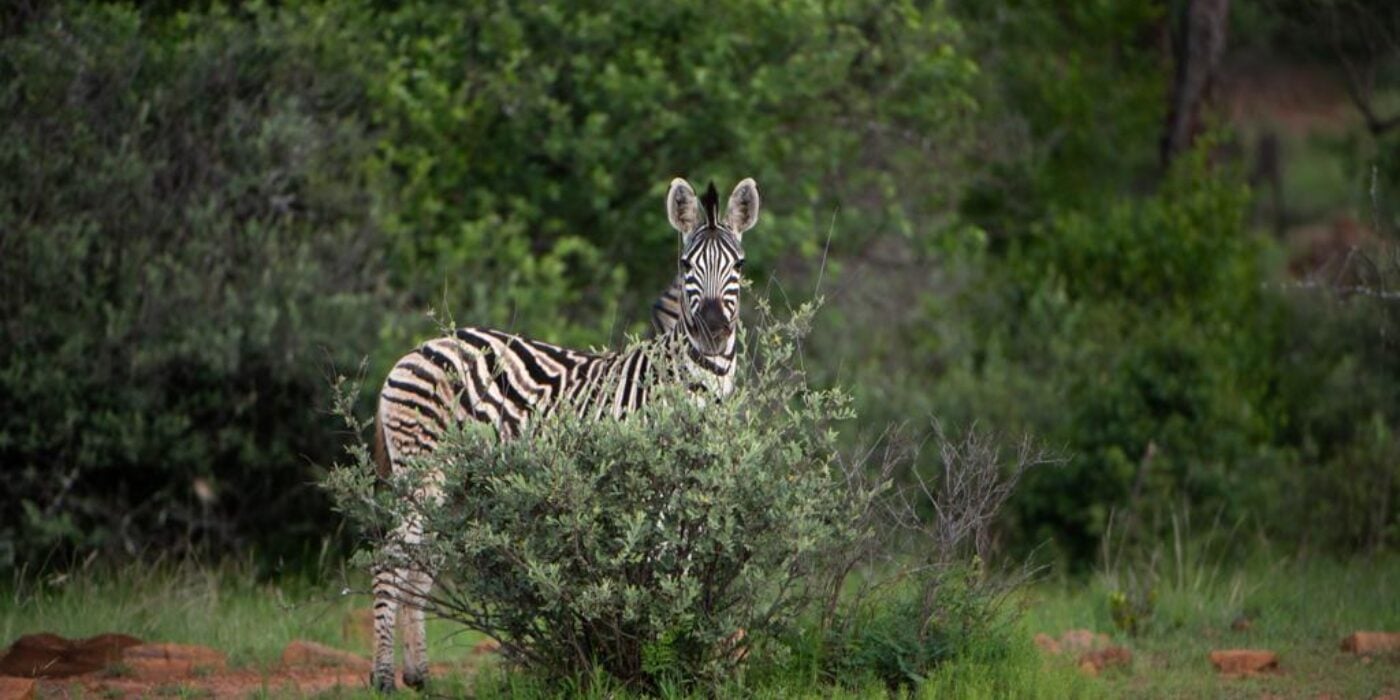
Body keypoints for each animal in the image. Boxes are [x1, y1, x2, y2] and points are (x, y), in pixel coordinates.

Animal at [368, 177, 759, 692]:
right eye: (685, 265)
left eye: (738, 265)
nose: (714, 328)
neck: (692, 382)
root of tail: (413, 352)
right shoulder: (651, 484)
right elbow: (657, 566)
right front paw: (654, 658)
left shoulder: (695, 484)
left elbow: (687, 567)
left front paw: (683, 652)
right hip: (425, 471)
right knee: (388, 560)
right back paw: (380, 677)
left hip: (453, 485)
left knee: (419, 564)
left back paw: (419, 676)